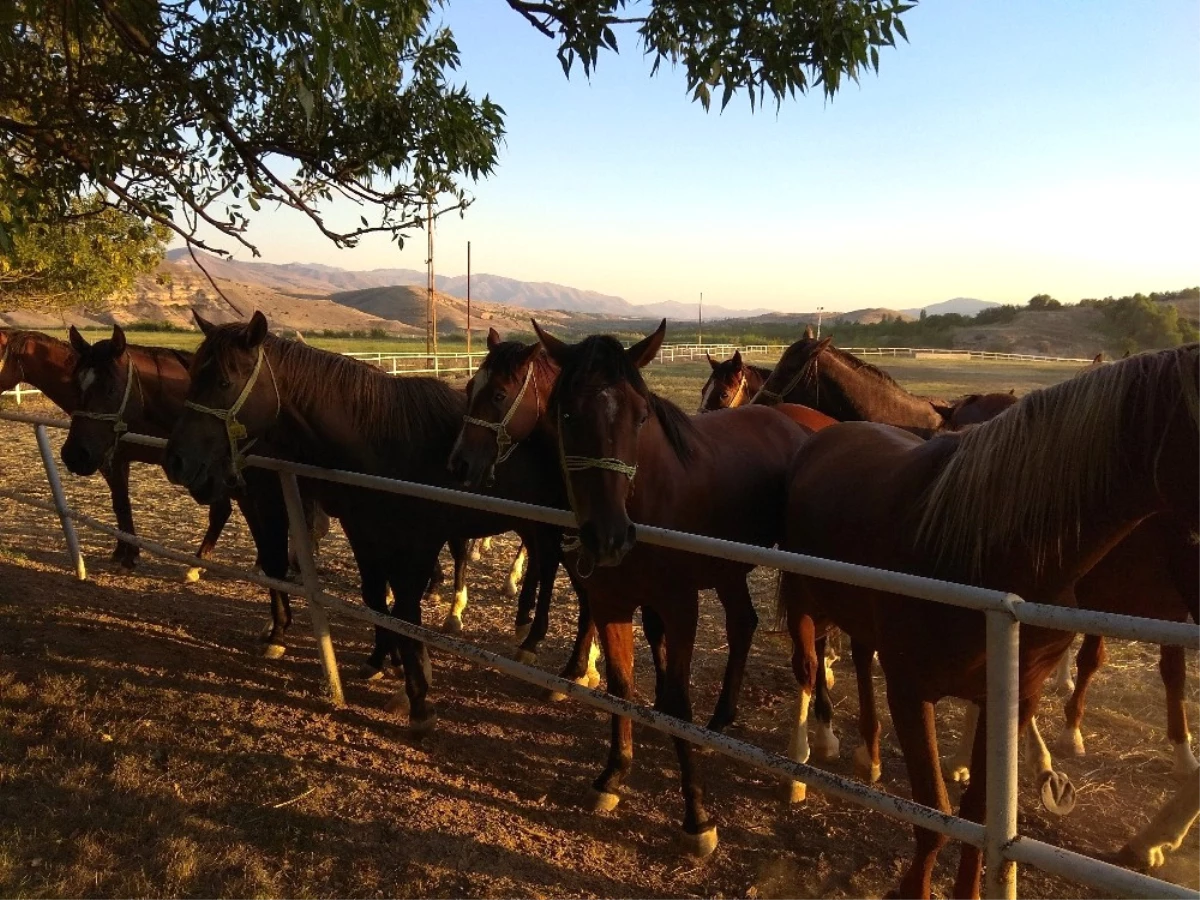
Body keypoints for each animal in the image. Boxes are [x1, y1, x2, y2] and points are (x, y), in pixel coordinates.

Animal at [165, 314, 576, 729]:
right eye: (192, 375)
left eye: (224, 382)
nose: (177, 461)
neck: (384, 438)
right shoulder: (362, 531)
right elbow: (376, 597)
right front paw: (383, 661)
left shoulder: (418, 541)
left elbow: (406, 610)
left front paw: (417, 696)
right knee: (544, 565)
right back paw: (527, 633)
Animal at [537, 319, 835, 859]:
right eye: (566, 414)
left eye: (639, 417)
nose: (608, 537)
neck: (646, 500)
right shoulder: (611, 605)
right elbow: (621, 686)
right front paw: (613, 775)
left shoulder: (680, 608)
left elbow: (676, 701)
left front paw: (697, 817)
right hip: (730, 569)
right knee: (743, 625)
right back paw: (721, 718)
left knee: (814, 640)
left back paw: (818, 734)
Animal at [777, 348, 1200, 900]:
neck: (983, 542)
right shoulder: (910, 691)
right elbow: (934, 813)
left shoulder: (1013, 698)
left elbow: (979, 813)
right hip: (804, 604)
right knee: (807, 670)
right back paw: (801, 763)